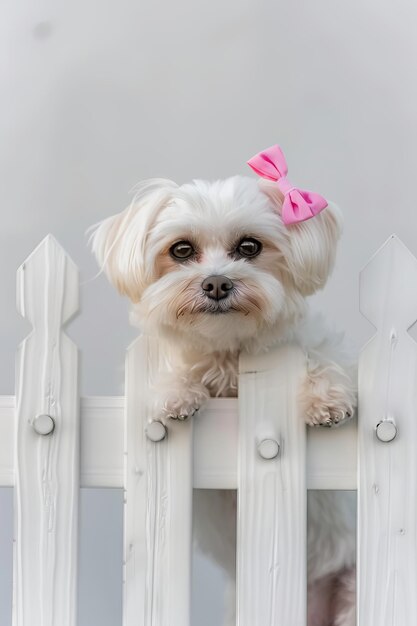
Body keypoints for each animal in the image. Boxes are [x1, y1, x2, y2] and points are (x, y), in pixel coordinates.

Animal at [92, 151, 356, 624]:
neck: (229, 353)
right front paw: (176, 392)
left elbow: (324, 358)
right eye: (181, 250)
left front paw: (327, 399)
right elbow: (179, 372)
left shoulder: (315, 348)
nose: (217, 283)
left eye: (249, 247)